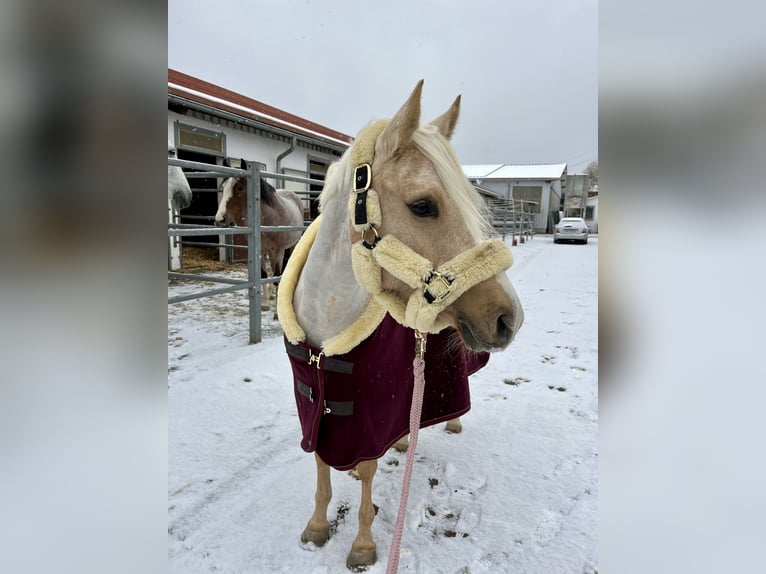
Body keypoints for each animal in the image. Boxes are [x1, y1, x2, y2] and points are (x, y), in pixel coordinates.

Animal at [214, 162, 304, 318]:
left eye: (239, 188)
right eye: (223, 187)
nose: (220, 219)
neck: (267, 218)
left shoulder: (277, 253)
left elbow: (276, 277)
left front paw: (276, 313)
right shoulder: (261, 251)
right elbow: (263, 276)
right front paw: (265, 304)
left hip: (290, 247)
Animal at [280, 81, 524, 572]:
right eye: (423, 206)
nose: (509, 318)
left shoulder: (369, 410)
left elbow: (368, 468)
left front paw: (363, 546)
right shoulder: (313, 404)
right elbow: (321, 464)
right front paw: (316, 527)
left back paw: (450, 424)